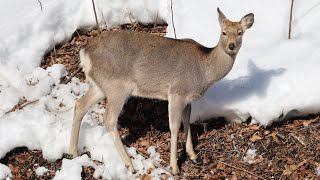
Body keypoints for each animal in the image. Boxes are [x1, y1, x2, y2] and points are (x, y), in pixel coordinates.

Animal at [69, 8, 252, 174]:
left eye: (240, 32)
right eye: (223, 32)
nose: (231, 46)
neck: (203, 72)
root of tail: (85, 52)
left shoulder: (188, 99)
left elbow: (187, 121)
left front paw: (193, 155)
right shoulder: (177, 92)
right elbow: (175, 126)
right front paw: (174, 167)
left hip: (101, 86)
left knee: (80, 104)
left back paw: (73, 152)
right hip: (117, 87)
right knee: (108, 119)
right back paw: (130, 165)